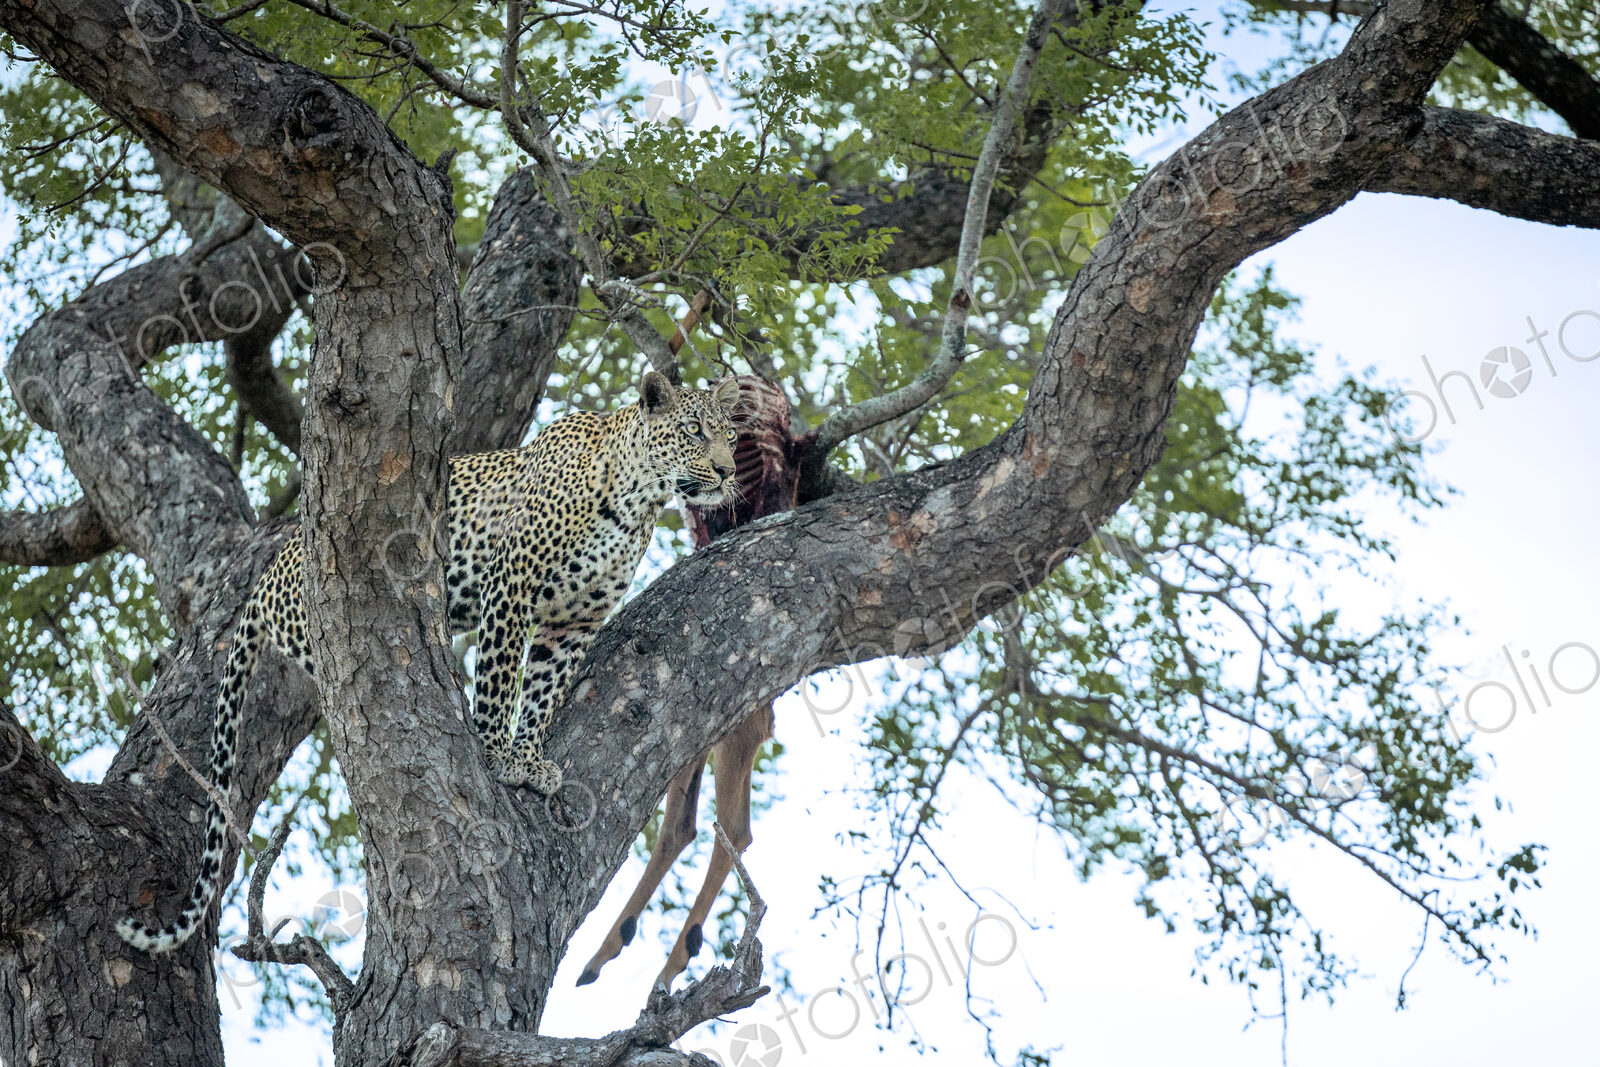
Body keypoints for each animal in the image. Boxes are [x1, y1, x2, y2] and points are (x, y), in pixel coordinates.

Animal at [117, 371, 740, 954]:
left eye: (731, 436)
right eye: (693, 430)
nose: (728, 471)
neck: (638, 500)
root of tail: (269, 573)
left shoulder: (573, 623)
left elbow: (541, 693)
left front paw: (530, 758)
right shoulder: (510, 585)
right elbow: (500, 680)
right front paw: (496, 754)